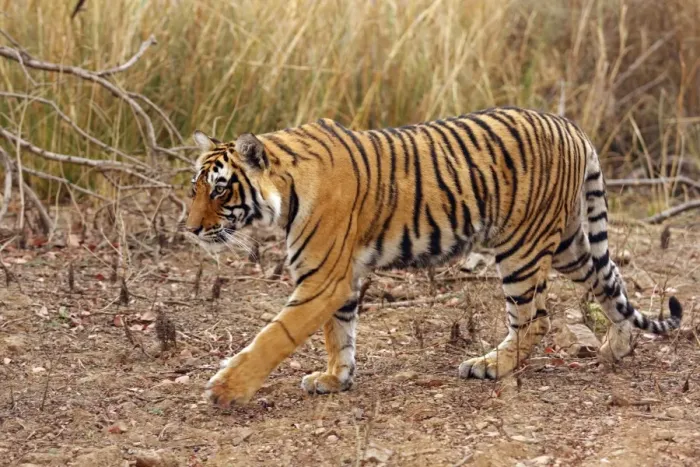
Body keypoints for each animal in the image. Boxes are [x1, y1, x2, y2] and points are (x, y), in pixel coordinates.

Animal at [185, 106, 683, 408]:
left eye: (220, 189)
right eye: (195, 189)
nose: (189, 229)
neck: (284, 192)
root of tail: (572, 126)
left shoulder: (323, 279)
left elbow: (276, 335)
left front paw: (226, 388)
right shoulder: (340, 279)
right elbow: (338, 334)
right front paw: (335, 379)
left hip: (521, 248)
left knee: (535, 319)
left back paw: (489, 366)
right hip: (568, 246)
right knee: (610, 282)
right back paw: (617, 347)